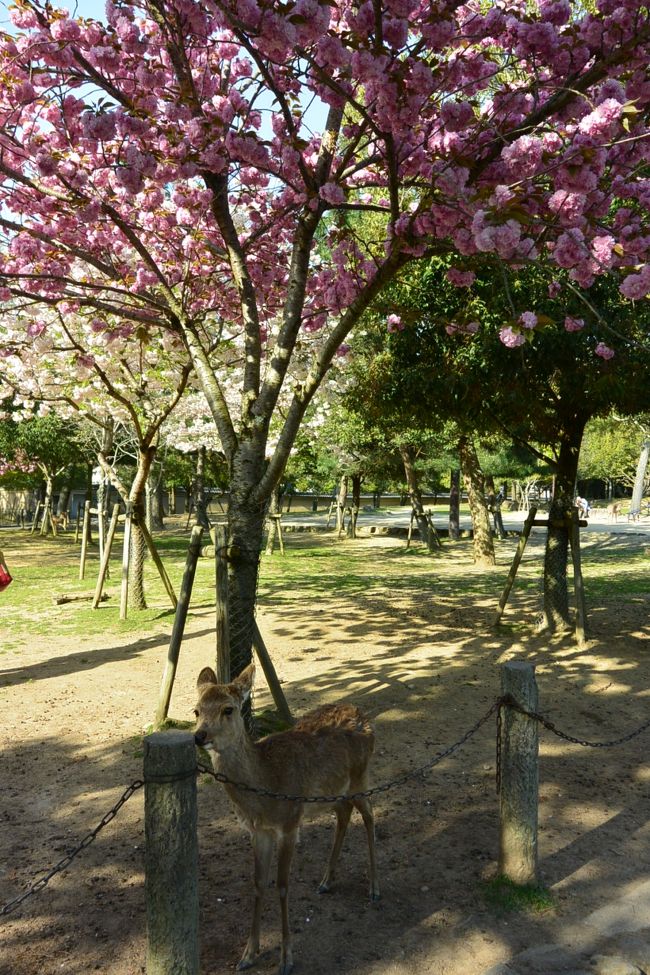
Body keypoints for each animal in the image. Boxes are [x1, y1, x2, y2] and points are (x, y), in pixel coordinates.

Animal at [193, 663, 379, 975]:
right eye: (196, 710)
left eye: (228, 709)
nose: (199, 736)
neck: (266, 784)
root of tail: (365, 717)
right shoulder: (259, 831)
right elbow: (258, 883)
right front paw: (248, 954)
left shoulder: (290, 823)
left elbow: (282, 885)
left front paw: (286, 959)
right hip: (333, 792)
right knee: (344, 815)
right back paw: (326, 881)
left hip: (360, 778)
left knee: (369, 816)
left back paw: (374, 888)